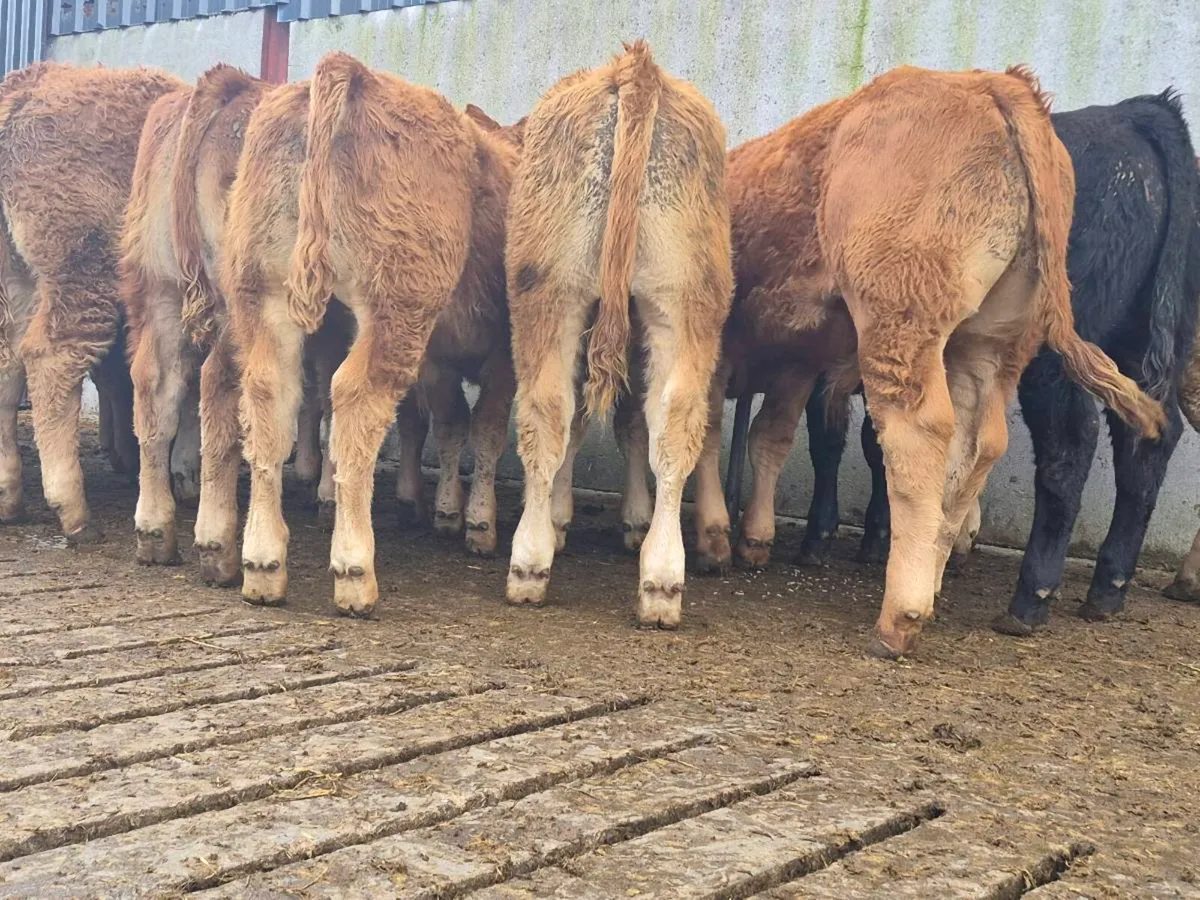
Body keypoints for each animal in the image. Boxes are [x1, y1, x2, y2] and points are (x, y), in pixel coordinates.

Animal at [0, 62, 185, 543]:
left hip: (19, 279)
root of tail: (27, 89)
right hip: (84, 273)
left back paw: (9, 494)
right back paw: (72, 509)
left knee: (9, 360)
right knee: (50, 359)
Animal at [223, 52, 520, 614]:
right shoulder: (503, 356)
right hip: (396, 308)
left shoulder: (439, 361)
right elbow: (485, 429)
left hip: (262, 295)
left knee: (270, 397)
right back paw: (355, 570)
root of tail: (353, 70)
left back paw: (264, 563)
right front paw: (478, 523)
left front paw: (447, 511)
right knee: (356, 400)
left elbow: (450, 424)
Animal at [503, 41, 734, 630]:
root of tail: (635, 68)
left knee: (550, 411)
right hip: (681, 300)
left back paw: (533, 565)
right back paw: (658, 580)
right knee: (670, 422)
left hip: (553, 292)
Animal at [681, 65, 1165, 658]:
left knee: (920, 436)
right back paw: (932, 576)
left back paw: (902, 614)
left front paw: (714, 538)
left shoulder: (733, 351)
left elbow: (709, 433)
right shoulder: (797, 363)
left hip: (901, 319)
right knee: (976, 446)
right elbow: (765, 439)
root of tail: (994, 83)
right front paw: (752, 538)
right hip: (988, 344)